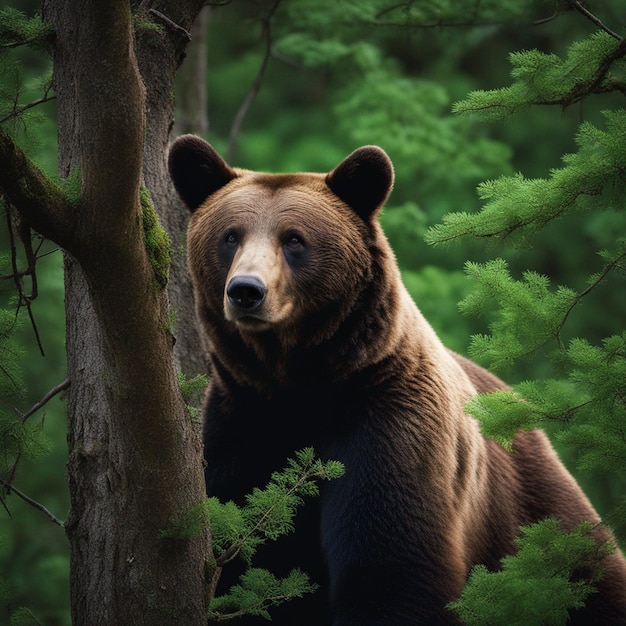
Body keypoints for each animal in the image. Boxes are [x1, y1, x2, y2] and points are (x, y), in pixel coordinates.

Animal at [168, 138, 624, 624]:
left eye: (294, 239)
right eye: (230, 235)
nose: (246, 291)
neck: (301, 386)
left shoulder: (388, 423)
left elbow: (393, 566)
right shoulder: (239, 427)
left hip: (539, 517)